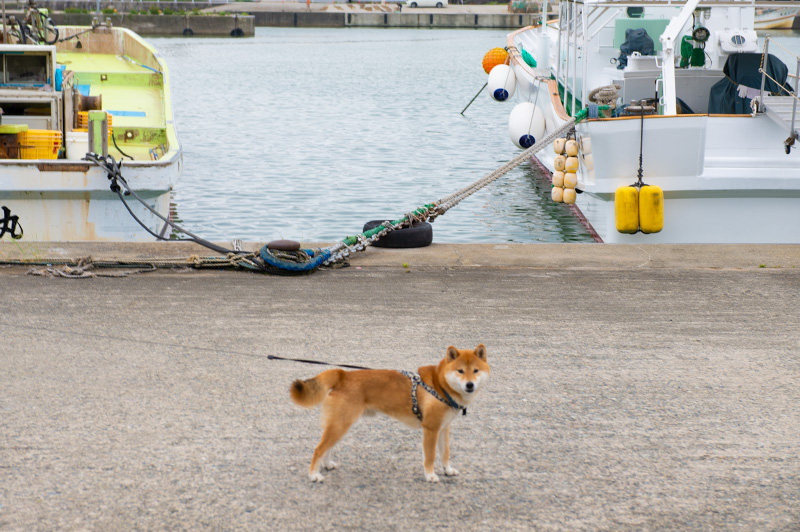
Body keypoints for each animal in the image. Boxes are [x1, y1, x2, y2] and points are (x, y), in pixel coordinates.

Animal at [288, 342, 488, 484]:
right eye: (460, 371)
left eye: (475, 371)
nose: (470, 385)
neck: (440, 385)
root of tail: (342, 374)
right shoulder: (430, 429)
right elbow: (430, 457)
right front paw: (430, 476)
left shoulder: (443, 428)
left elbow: (445, 453)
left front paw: (447, 470)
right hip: (341, 425)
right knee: (319, 449)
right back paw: (314, 475)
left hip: (340, 425)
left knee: (327, 448)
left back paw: (327, 465)